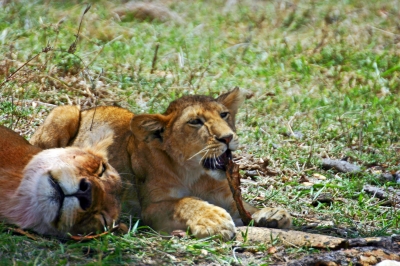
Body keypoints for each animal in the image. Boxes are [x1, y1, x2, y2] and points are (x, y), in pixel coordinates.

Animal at [31, 88, 292, 241]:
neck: (195, 174)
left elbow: (247, 207)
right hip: (66, 111)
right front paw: (214, 221)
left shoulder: (227, 197)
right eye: (196, 122)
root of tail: (94, 107)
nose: (227, 138)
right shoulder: (149, 209)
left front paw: (273, 213)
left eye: (224, 115)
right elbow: (185, 202)